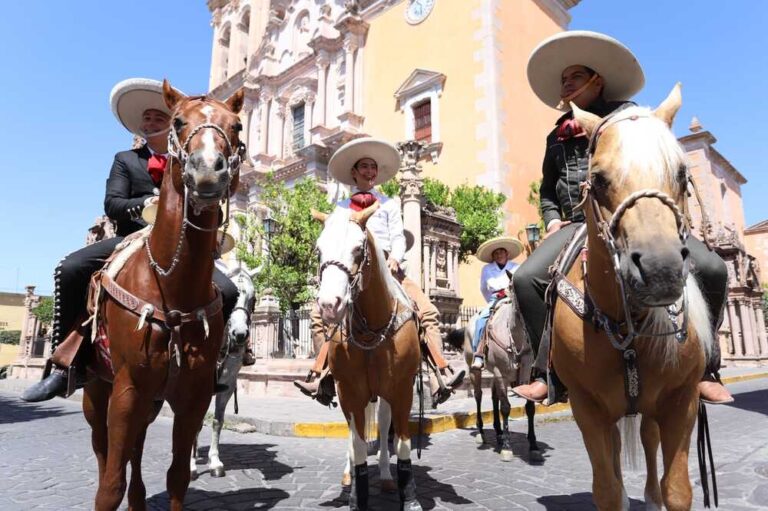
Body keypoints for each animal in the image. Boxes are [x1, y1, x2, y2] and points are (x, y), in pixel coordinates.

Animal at [81, 81, 244, 511]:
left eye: (236, 125)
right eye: (178, 121)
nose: (208, 169)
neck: (172, 289)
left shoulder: (193, 396)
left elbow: (178, 477)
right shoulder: (126, 391)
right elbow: (109, 486)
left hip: (150, 400)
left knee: (135, 450)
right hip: (97, 390)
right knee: (105, 452)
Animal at [190, 264, 256, 480]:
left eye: (253, 298)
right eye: (230, 299)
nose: (240, 334)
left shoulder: (227, 383)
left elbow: (217, 421)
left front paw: (215, 462)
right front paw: (190, 467)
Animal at [312, 205, 424, 511]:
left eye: (357, 249)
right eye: (318, 250)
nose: (329, 305)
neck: (372, 327)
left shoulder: (401, 391)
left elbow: (402, 443)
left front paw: (410, 498)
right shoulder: (349, 392)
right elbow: (358, 445)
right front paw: (356, 496)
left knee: (384, 427)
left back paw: (386, 475)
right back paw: (348, 475)